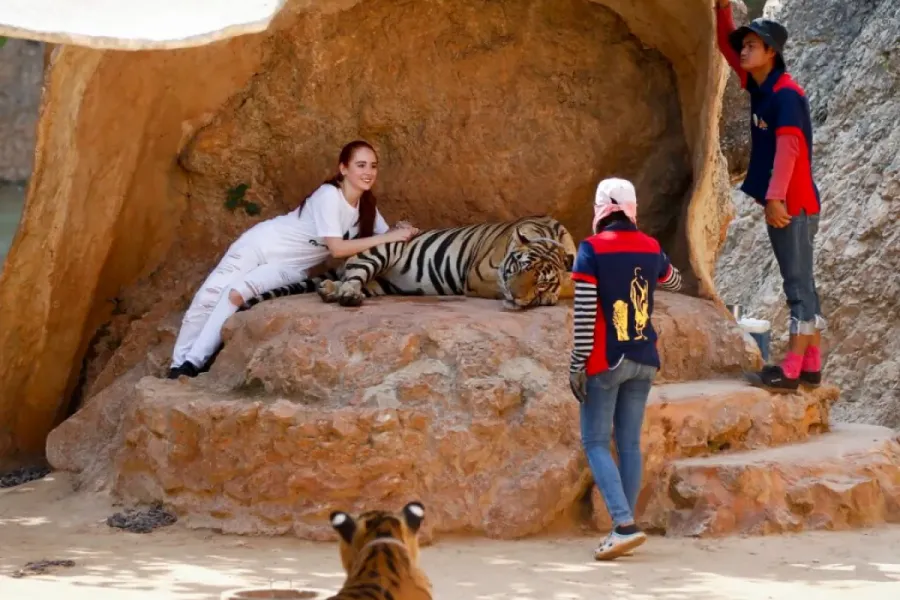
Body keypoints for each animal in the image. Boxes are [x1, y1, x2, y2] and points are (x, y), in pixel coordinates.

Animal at [238, 215, 577, 311]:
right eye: (519, 268)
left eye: (540, 280)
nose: (517, 298)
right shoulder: (479, 276)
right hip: (380, 251)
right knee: (353, 275)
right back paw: (344, 294)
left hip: (381, 283)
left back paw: (330, 289)